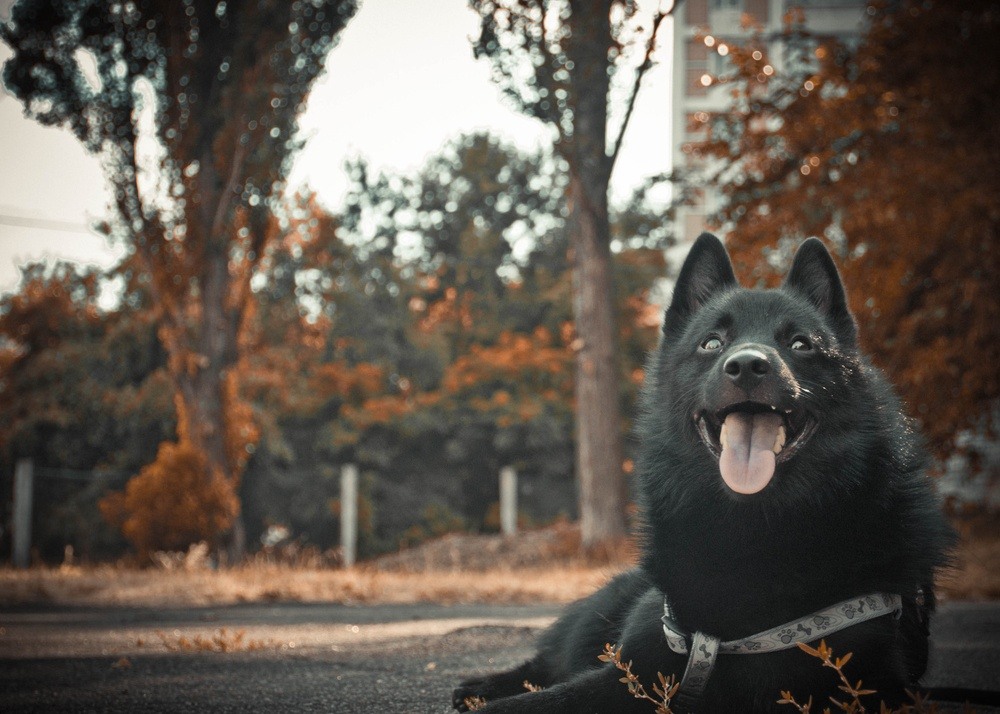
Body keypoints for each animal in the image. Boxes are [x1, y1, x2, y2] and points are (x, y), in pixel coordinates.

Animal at [454, 231, 952, 708]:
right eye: (712, 342)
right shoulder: (634, 670)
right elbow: (537, 700)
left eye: (800, 344)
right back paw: (480, 686)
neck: (751, 533)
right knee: (542, 666)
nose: (748, 365)